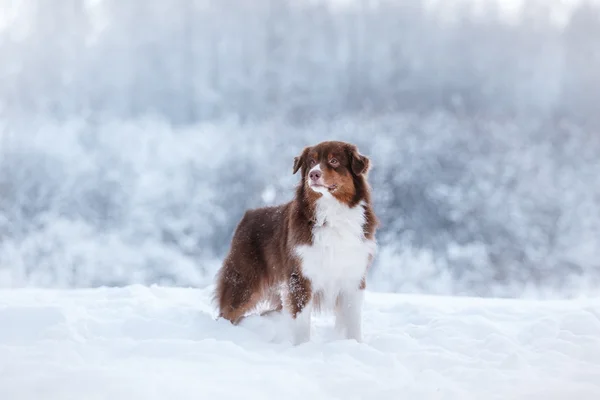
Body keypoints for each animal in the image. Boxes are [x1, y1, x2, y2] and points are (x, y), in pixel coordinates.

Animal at [213, 141, 378, 344]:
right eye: (311, 162)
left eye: (334, 160)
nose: (313, 174)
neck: (331, 212)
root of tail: (247, 216)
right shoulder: (300, 277)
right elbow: (301, 321)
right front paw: (302, 347)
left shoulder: (353, 276)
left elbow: (353, 321)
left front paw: (355, 344)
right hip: (244, 281)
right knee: (228, 312)